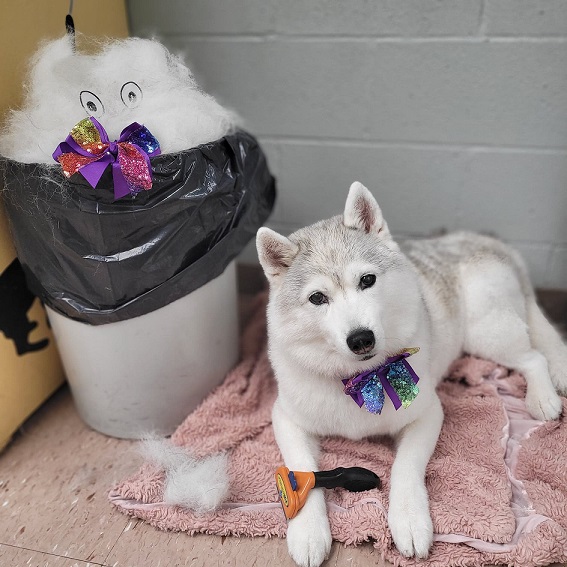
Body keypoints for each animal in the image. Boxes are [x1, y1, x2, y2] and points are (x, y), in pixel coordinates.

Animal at [258, 182, 567, 567]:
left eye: (367, 280)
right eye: (317, 298)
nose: (361, 338)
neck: (361, 379)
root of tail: (490, 241)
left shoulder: (427, 414)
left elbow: (405, 467)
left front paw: (408, 518)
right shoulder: (286, 417)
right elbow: (302, 470)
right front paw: (308, 529)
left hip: (488, 334)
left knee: (534, 358)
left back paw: (542, 397)